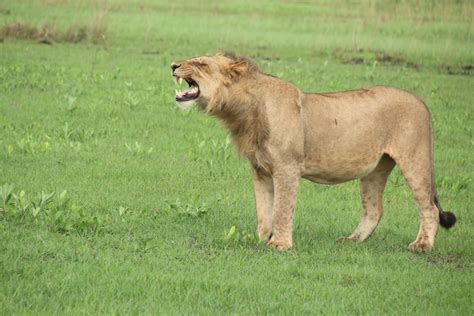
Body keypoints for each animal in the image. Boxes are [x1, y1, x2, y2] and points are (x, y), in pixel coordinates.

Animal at [170, 53, 456, 252]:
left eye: (200, 63)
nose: (173, 65)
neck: (242, 110)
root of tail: (422, 102)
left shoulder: (287, 167)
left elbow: (282, 208)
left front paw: (279, 244)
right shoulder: (260, 170)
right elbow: (263, 210)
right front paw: (260, 239)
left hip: (415, 159)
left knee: (429, 207)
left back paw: (422, 245)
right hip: (375, 169)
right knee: (374, 210)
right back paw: (352, 240)